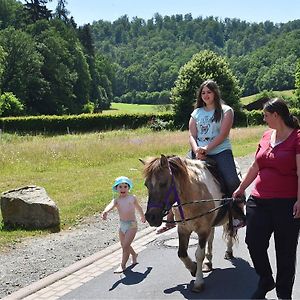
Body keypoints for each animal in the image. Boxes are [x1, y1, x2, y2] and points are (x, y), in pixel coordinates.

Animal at [141, 155, 241, 292]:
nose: (151, 217)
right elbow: (181, 253)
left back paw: (229, 252)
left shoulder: (203, 230)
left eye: (163, 184)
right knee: (211, 239)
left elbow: (199, 254)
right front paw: (193, 268)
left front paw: (198, 282)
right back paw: (208, 262)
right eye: (146, 185)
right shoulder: (183, 229)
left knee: (230, 232)